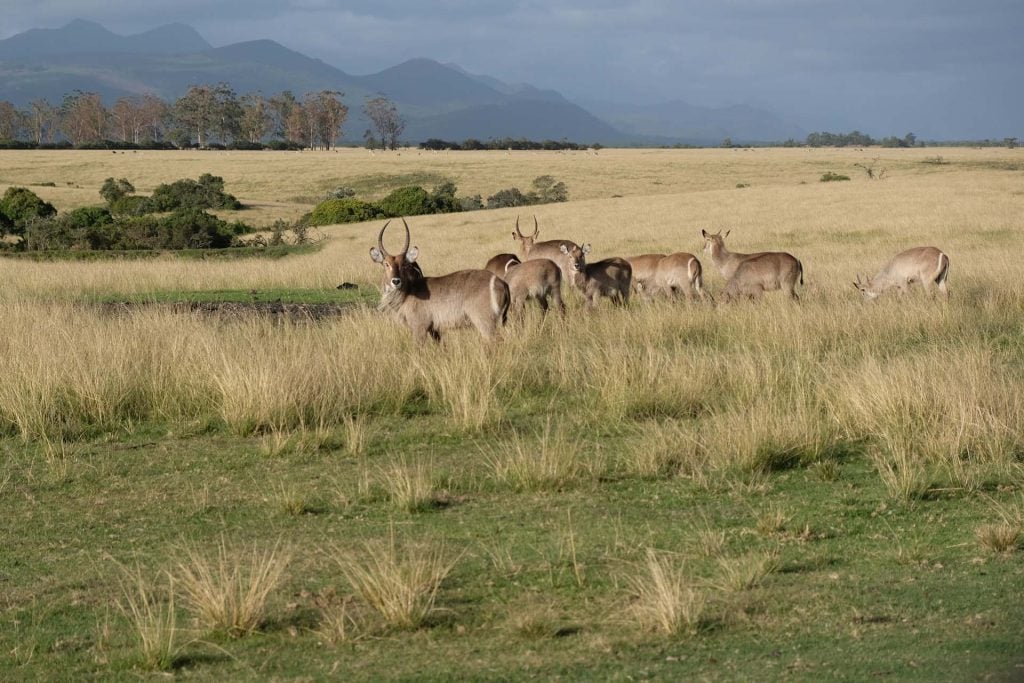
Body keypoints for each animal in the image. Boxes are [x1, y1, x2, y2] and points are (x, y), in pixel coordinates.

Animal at [370, 219, 509, 342]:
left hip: (485, 321)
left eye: (404, 264)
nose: (396, 281)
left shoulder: (419, 327)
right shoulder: (434, 330)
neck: (408, 293)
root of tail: (501, 282)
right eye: (386, 264)